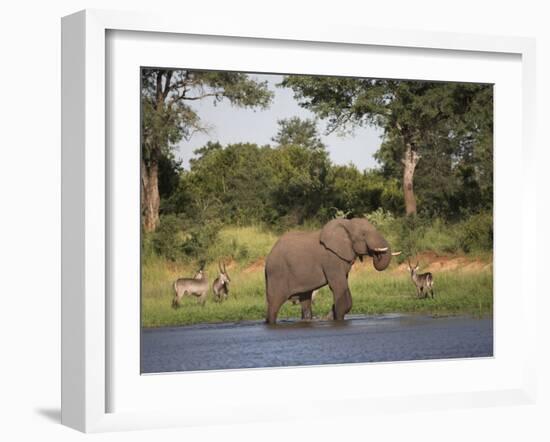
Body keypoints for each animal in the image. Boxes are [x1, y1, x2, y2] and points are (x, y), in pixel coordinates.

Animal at [266, 218, 398, 324]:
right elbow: (338, 287)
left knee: (305, 299)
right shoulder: (331, 259)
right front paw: (336, 319)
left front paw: (330, 317)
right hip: (277, 273)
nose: (376, 254)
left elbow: (345, 290)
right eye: (364, 234)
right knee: (274, 303)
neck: (347, 224)